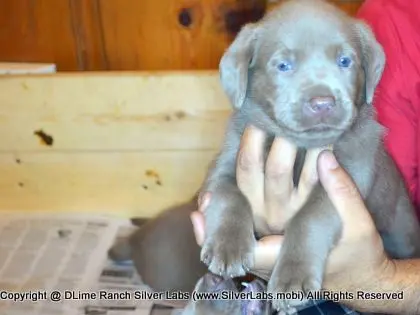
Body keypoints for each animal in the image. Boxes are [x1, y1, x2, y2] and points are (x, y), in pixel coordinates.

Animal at [199, 0, 420, 312]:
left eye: (345, 61)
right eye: (283, 65)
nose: (322, 102)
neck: (303, 147)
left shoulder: (347, 174)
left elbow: (309, 217)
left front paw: (293, 279)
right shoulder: (229, 159)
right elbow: (229, 193)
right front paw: (226, 246)